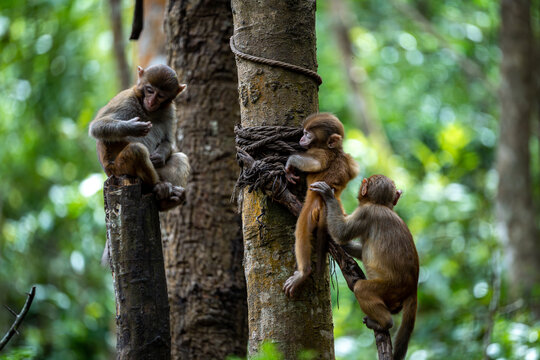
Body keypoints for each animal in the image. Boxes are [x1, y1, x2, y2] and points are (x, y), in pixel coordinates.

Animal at [88, 64, 190, 211]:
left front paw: (160, 156)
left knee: (180, 158)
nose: (151, 101)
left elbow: (168, 141)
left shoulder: (169, 110)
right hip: (119, 171)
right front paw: (132, 127)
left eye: (160, 95)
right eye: (149, 90)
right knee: (137, 150)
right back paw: (157, 187)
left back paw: (166, 201)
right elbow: (96, 126)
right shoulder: (125, 100)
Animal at [282, 113, 358, 298]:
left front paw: (289, 164)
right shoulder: (348, 161)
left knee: (301, 231)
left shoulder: (319, 152)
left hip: (310, 210)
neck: (335, 150)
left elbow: (315, 164)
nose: (301, 138)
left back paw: (304, 273)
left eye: (308, 134)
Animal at [310, 174, 420, 360]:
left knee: (361, 288)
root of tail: (413, 286)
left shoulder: (365, 213)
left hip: (390, 287)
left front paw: (328, 196)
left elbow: (342, 232)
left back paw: (384, 323)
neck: (380, 205)